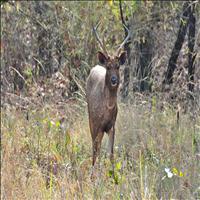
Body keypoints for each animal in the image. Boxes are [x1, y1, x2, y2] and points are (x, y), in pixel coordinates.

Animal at [86, 21, 131, 166]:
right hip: (90, 118)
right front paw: (94, 171)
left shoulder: (111, 126)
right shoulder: (97, 125)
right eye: (108, 66)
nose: (114, 80)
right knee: (94, 148)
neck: (108, 108)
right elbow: (96, 151)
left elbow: (111, 154)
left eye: (117, 66)